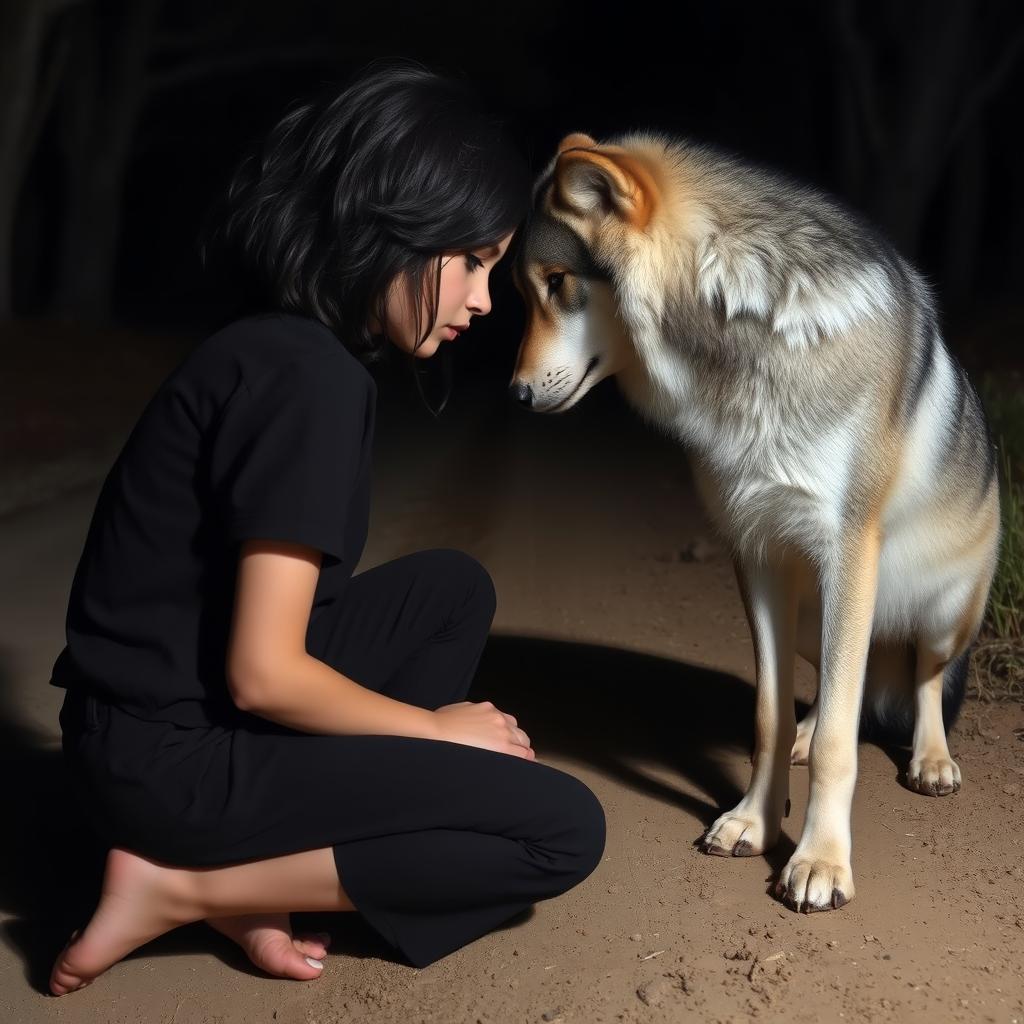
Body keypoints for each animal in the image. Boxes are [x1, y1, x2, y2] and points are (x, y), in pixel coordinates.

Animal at [509, 130, 999, 913]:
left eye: (558, 283)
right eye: (526, 292)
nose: (517, 395)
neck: (748, 343)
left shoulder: (845, 552)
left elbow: (838, 745)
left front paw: (820, 861)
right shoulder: (759, 552)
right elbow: (770, 717)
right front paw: (754, 822)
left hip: (940, 613)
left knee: (920, 684)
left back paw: (931, 759)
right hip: (813, 618)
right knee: (845, 690)